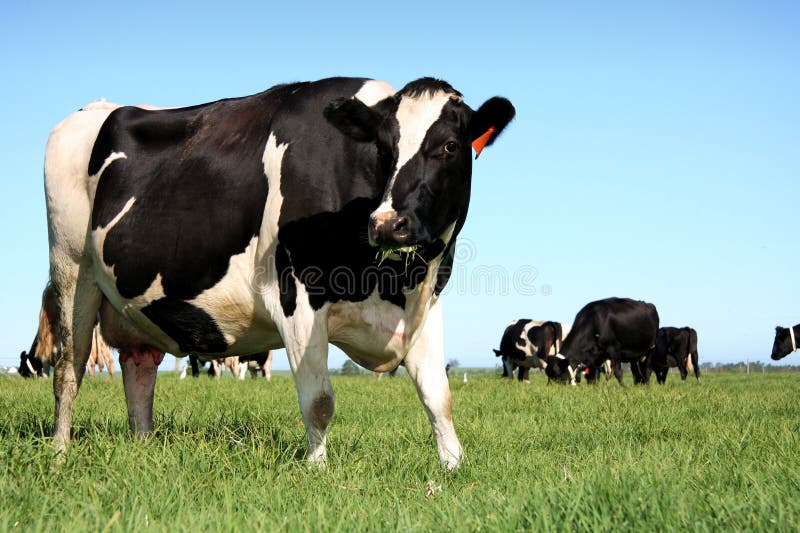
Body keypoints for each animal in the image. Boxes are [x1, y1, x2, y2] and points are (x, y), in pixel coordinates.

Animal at [37, 77, 516, 468]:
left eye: (450, 146)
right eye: (383, 149)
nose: (387, 224)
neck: (389, 284)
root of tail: (100, 107)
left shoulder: (424, 304)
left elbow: (439, 396)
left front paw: (453, 468)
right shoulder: (297, 296)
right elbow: (319, 401)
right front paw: (318, 471)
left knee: (139, 369)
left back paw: (145, 447)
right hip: (71, 268)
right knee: (68, 368)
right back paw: (59, 453)